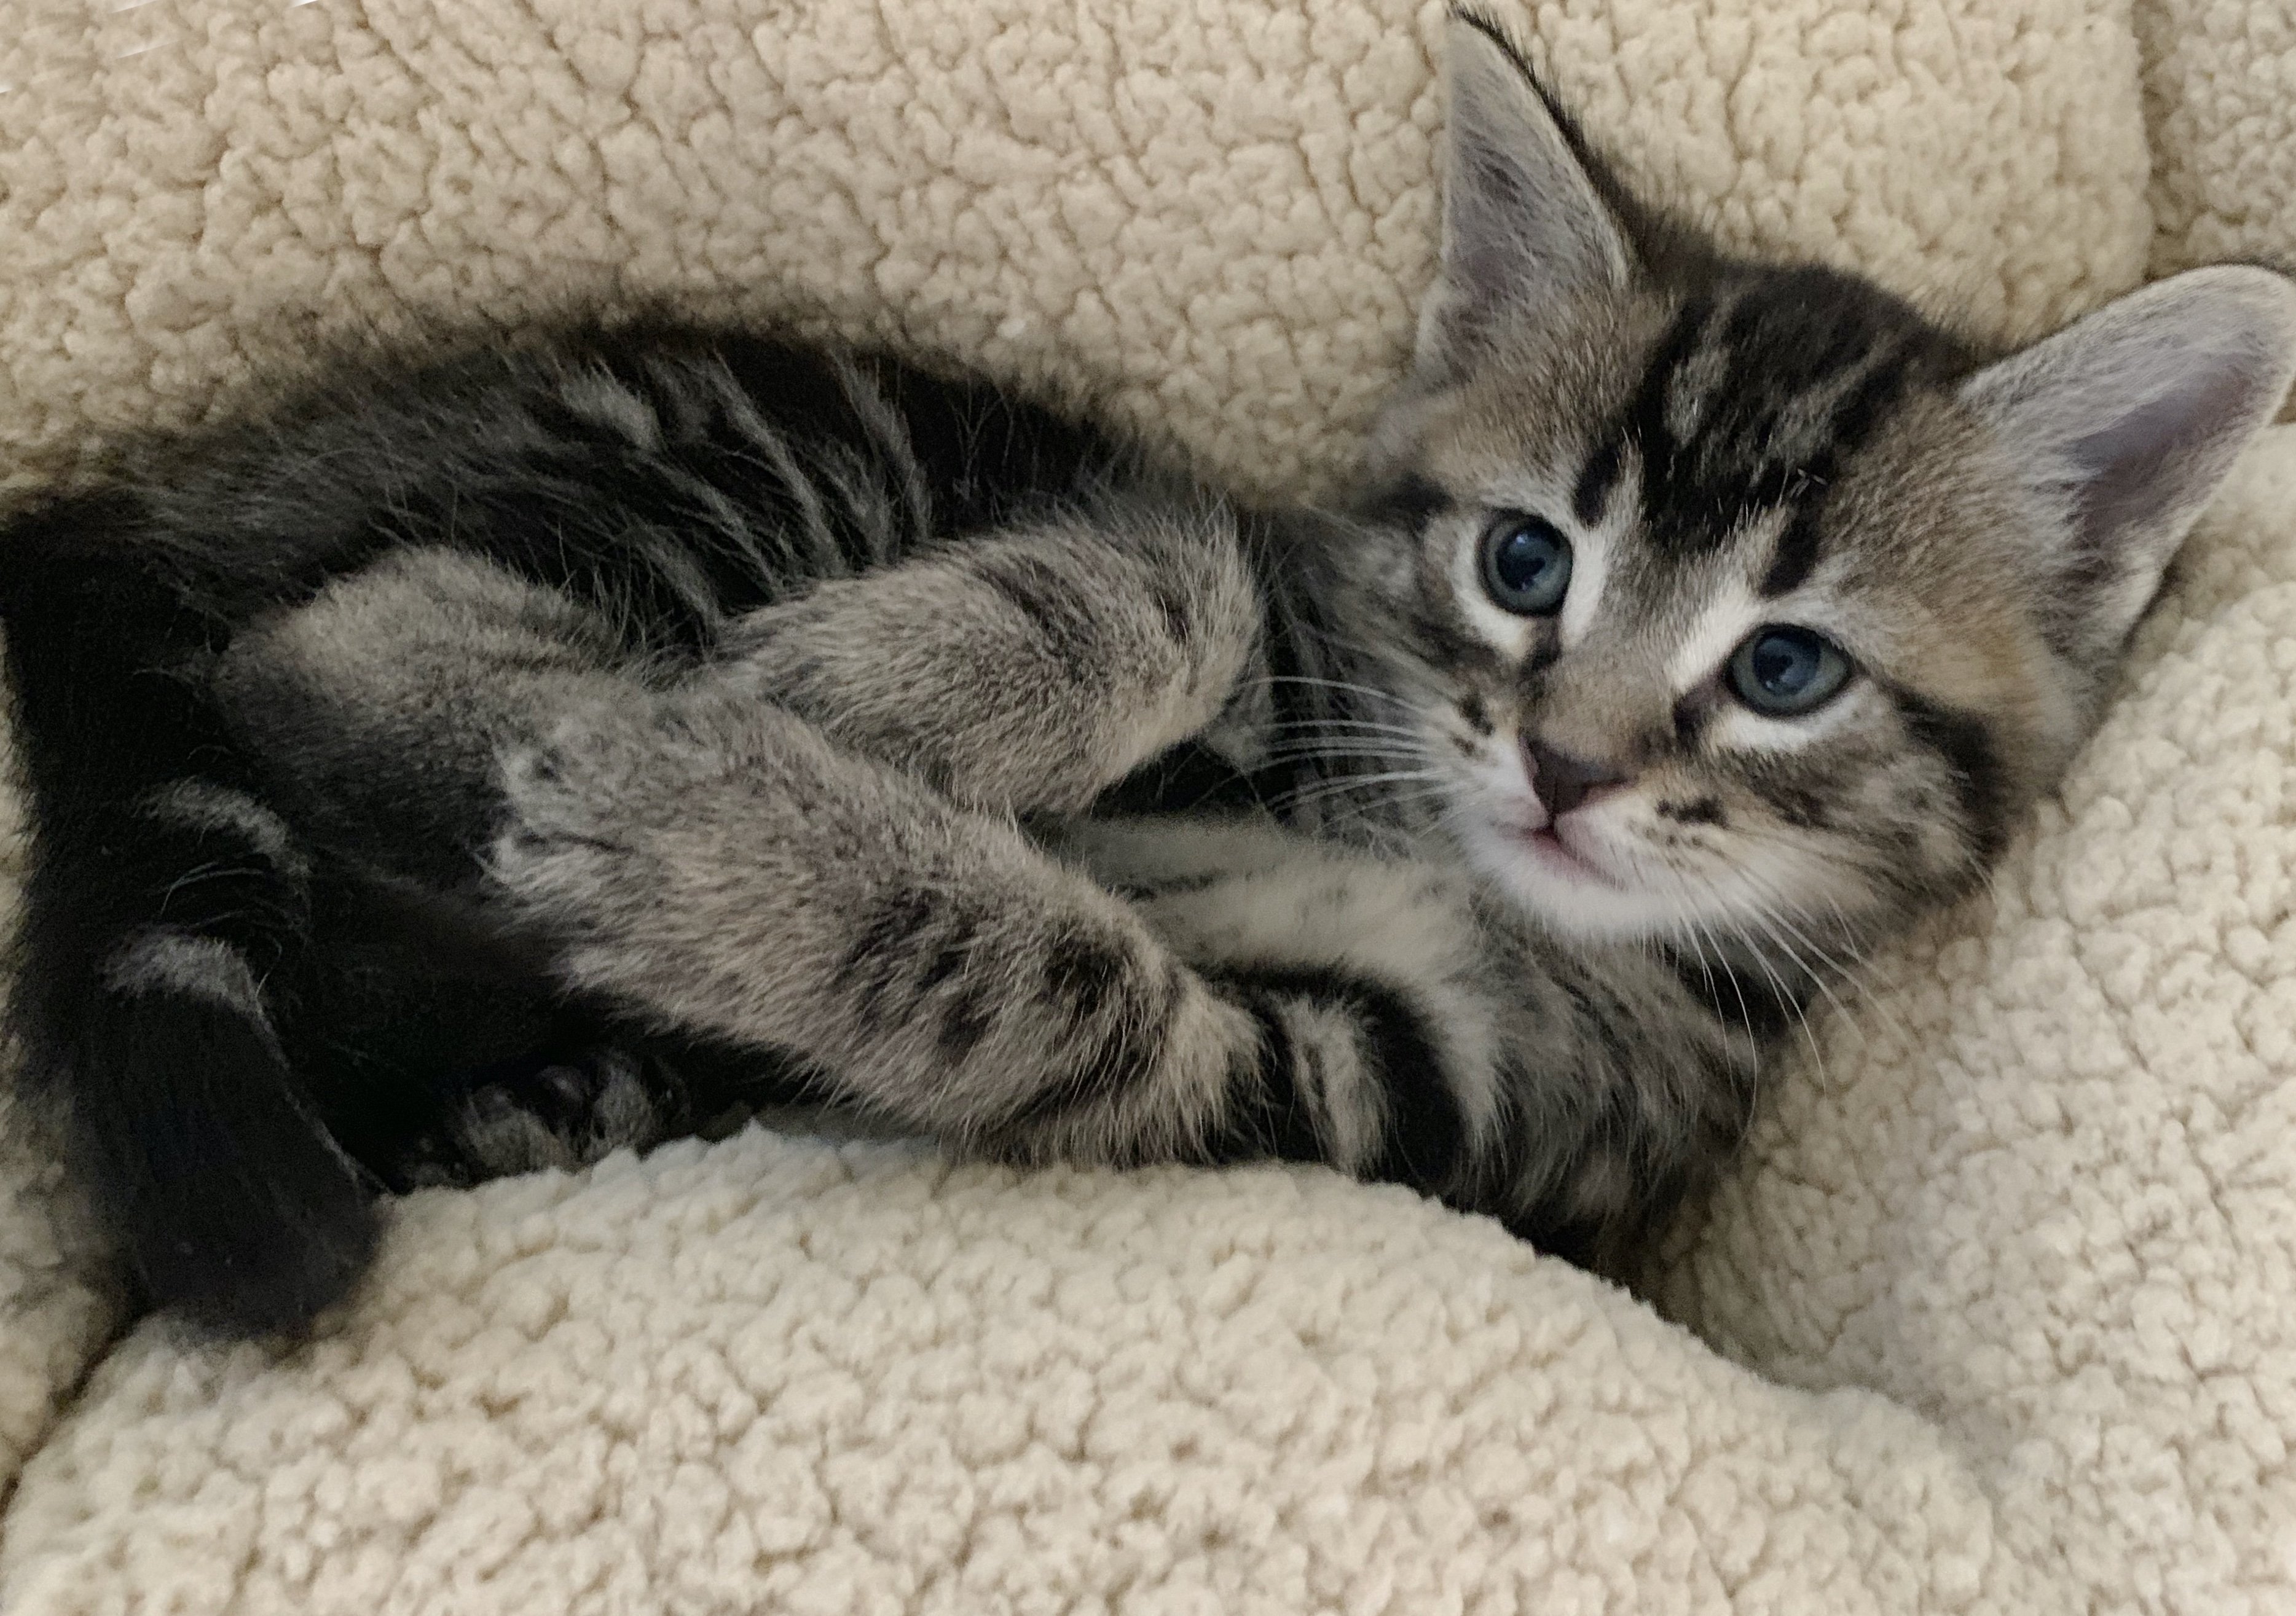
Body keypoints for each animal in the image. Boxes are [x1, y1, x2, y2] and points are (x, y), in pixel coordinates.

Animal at [4, 9, 2296, 1340]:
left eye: (1787, 670)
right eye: (1523, 562)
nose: (1560, 768)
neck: (1450, 862)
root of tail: (167, 494)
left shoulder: (1401, 1104)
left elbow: (1070, 997)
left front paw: (733, 849)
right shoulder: (1263, 583)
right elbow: (1176, 581)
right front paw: (864, 711)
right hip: (789, 438)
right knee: (316, 641)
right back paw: (600, 713)